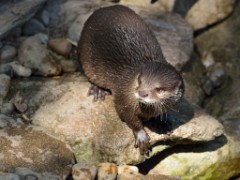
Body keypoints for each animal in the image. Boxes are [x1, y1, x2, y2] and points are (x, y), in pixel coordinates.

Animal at [78, 5, 185, 155]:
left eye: (159, 89)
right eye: (140, 80)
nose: (142, 93)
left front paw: (161, 122)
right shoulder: (122, 97)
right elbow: (128, 117)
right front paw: (141, 136)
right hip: (87, 55)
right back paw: (98, 90)